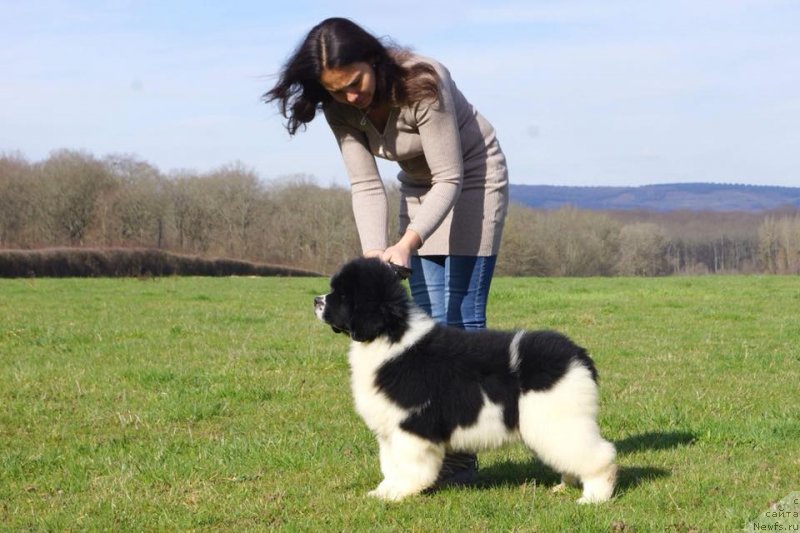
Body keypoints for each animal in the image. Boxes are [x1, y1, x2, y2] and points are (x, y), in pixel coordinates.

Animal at [314, 258, 620, 502]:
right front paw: (383, 492)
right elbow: (390, 465)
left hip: (559, 420)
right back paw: (564, 486)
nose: (316, 301)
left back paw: (594, 497)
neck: (390, 336)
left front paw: (399, 493)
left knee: (600, 455)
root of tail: (578, 354)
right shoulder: (390, 430)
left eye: (342, 295)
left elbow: (409, 466)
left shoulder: (411, 426)